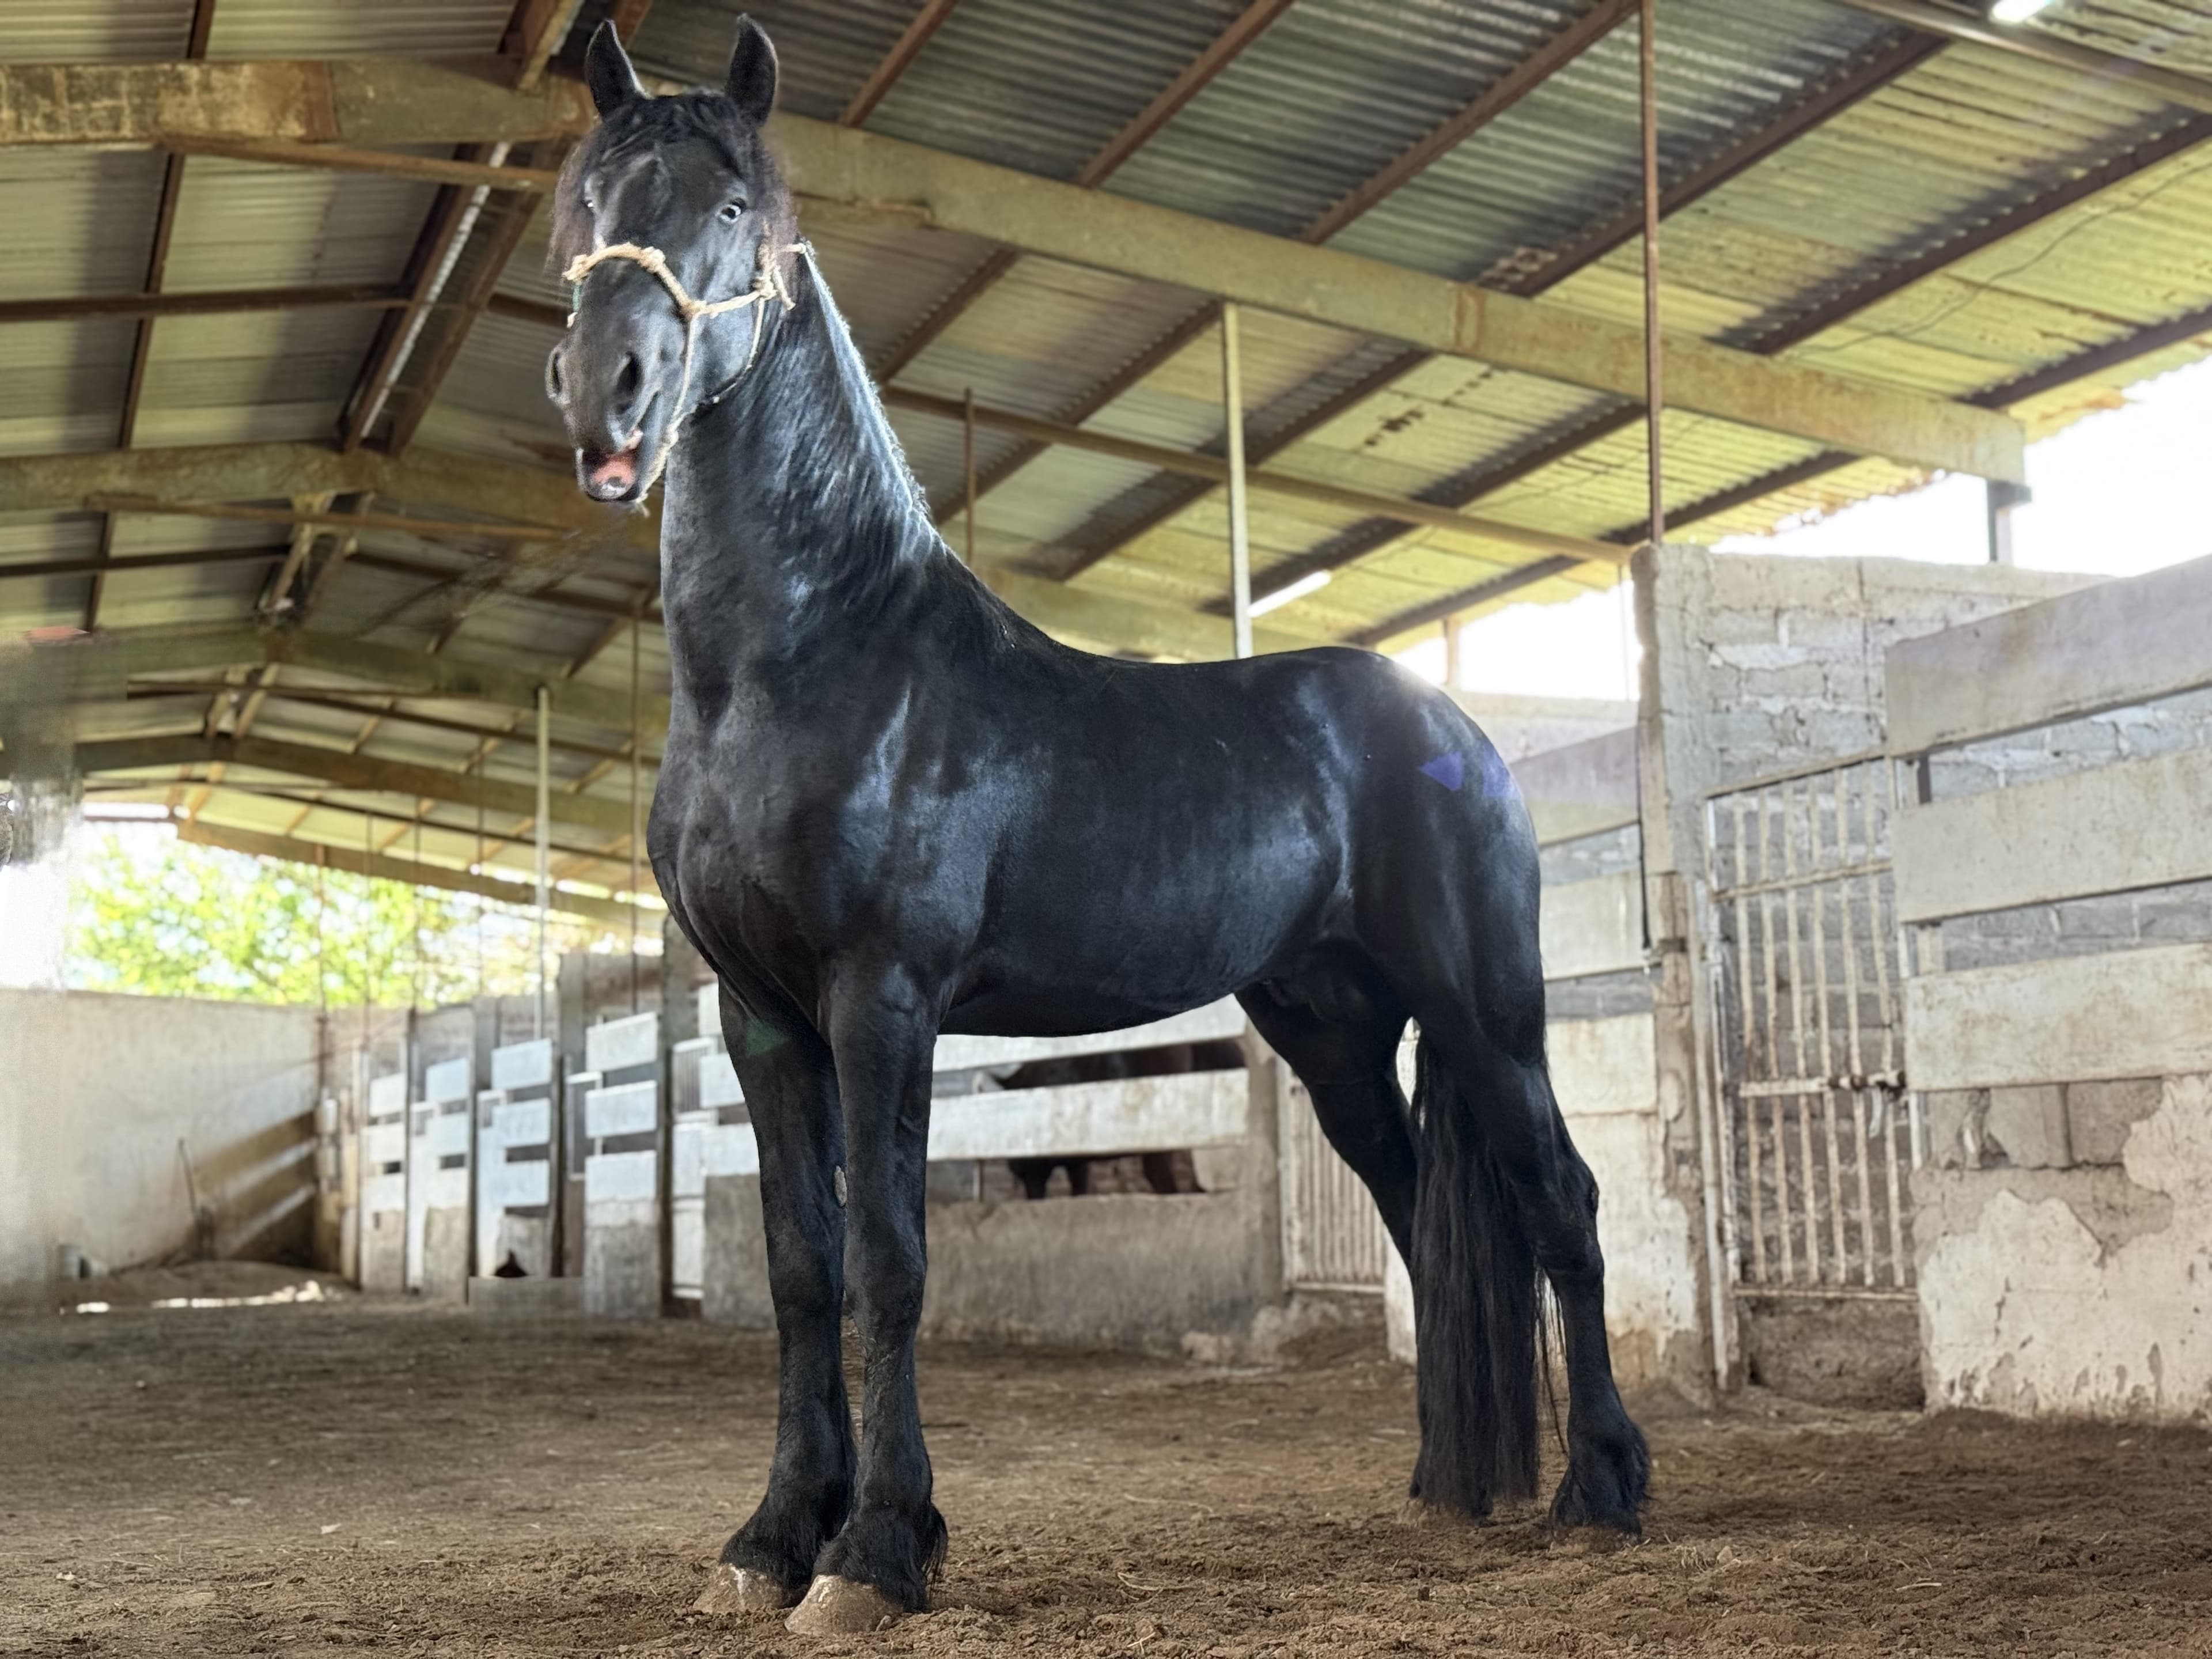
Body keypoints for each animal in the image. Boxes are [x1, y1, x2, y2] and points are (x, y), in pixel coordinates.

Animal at [546, 17, 1647, 1635]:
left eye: (735, 205)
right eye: (590, 200)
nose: (606, 387)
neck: (799, 663)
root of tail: (1450, 723)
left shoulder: (881, 1001)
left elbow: (889, 1259)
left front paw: (877, 1552)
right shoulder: (763, 1019)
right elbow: (803, 1268)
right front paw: (770, 1540)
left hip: (1487, 1014)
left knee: (1559, 1202)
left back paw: (1604, 1496)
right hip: (1334, 1035)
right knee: (1422, 1225)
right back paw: (1454, 1488)